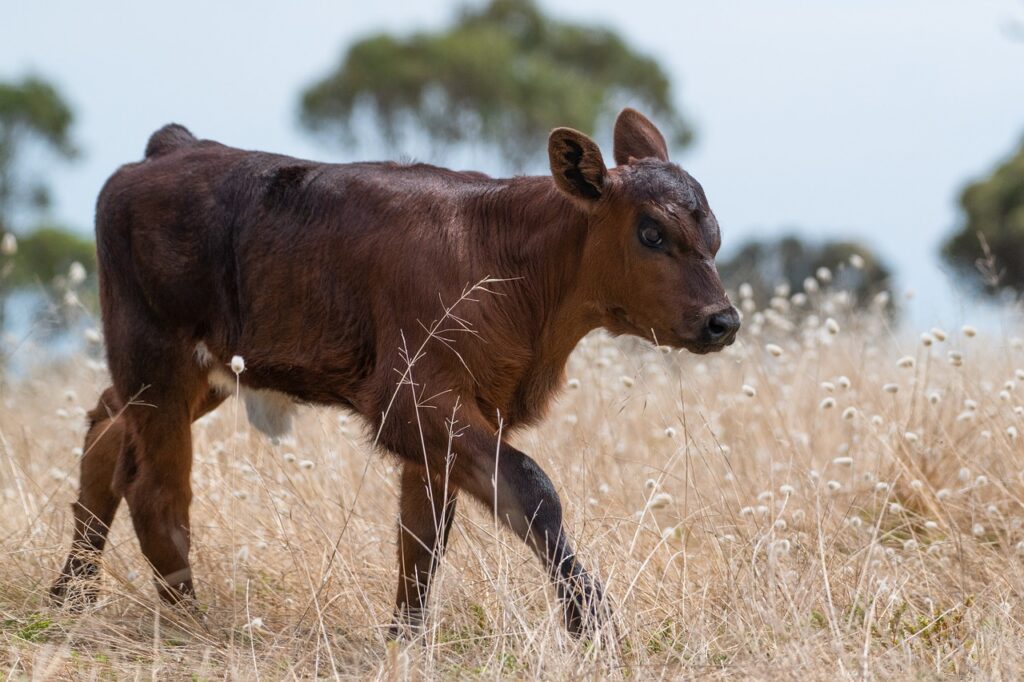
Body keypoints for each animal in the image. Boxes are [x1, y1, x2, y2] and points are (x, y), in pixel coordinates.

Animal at [51, 108, 739, 637]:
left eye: (714, 234)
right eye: (651, 232)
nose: (723, 320)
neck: (506, 257)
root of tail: (174, 147)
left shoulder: (461, 410)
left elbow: (424, 532)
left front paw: (404, 638)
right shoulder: (408, 399)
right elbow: (530, 487)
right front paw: (590, 622)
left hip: (200, 373)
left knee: (105, 433)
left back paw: (70, 594)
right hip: (155, 357)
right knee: (156, 487)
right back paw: (188, 623)